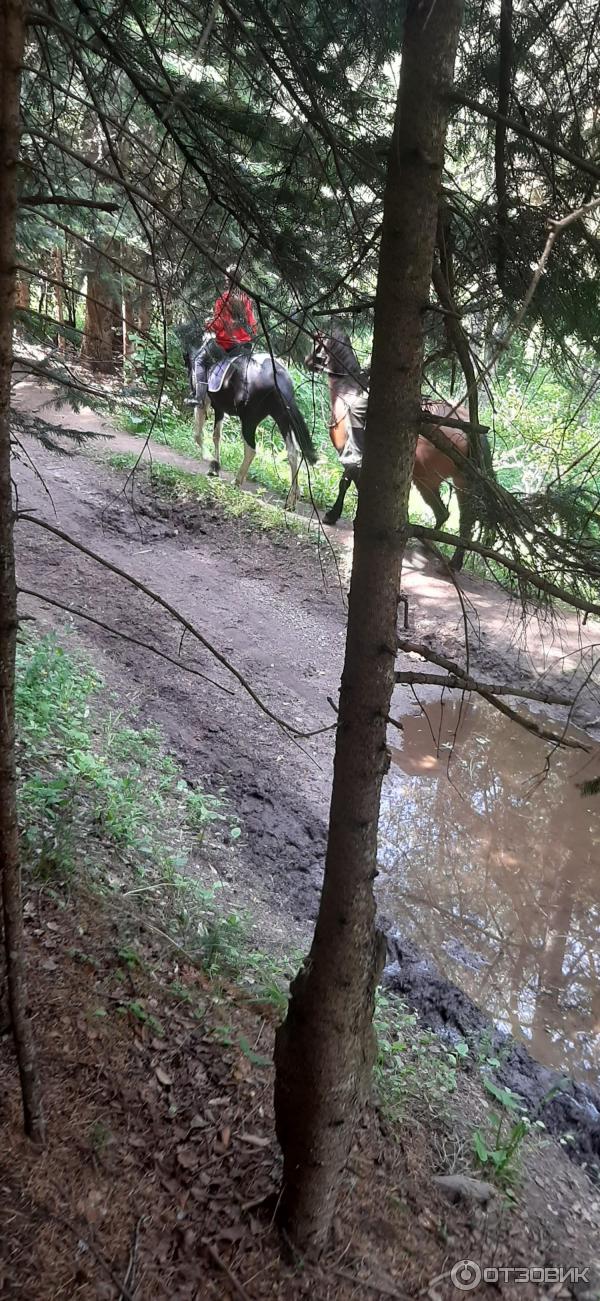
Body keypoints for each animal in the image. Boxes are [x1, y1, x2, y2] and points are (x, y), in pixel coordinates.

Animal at [183, 333, 316, 509]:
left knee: (251, 449)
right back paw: (291, 499)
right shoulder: (220, 409)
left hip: (249, 419)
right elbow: (217, 436)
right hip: (282, 417)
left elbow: (199, 435)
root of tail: (277, 374)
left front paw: (211, 461)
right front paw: (215, 467)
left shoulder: (204, 403)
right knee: (293, 452)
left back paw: (237, 481)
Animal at [305, 325, 473, 569]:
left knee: (446, 513)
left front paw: (333, 514)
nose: (307, 361)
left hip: (426, 479)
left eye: (315, 342)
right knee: (456, 517)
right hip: (458, 482)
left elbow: (345, 483)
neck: (347, 392)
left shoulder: (350, 453)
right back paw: (445, 555)